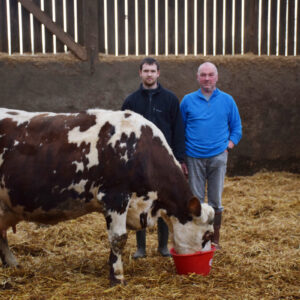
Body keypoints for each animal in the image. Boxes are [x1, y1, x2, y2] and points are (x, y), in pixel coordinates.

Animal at [0, 107, 216, 284]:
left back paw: (13, 264)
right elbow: (118, 238)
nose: (207, 262)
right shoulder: (115, 197)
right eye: (207, 234)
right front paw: (117, 276)